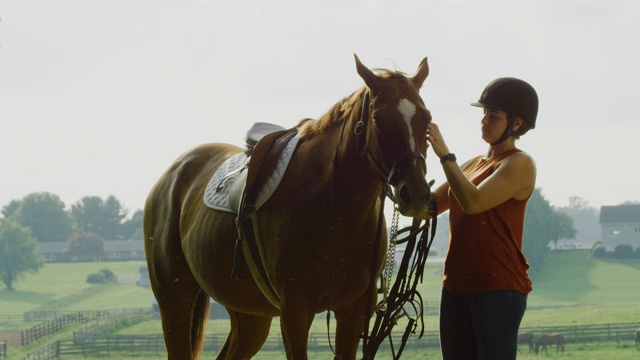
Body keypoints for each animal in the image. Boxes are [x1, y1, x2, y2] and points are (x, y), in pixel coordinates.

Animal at [144, 54, 436, 360]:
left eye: (426, 118)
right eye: (379, 119)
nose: (416, 193)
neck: (336, 214)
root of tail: (171, 175)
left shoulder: (353, 312)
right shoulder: (295, 309)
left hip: (250, 317)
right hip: (175, 301)